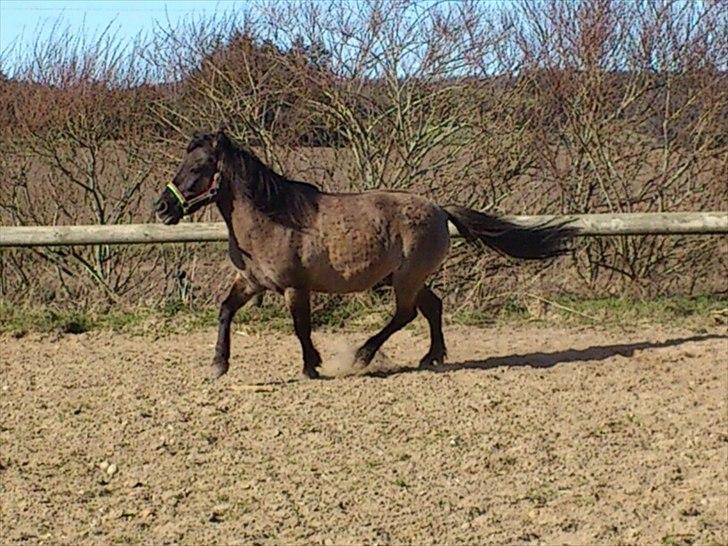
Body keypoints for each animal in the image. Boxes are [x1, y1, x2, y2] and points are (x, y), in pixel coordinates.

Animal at [155, 130, 576, 378]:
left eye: (198, 166)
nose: (162, 208)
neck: (271, 218)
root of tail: (440, 209)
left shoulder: (295, 287)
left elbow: (301, 328)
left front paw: (312, 366)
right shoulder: (251, 282)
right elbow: (225, 310)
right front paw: (218, 365)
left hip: (405, 280)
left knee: (406, 314)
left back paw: (364, 355)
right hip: (408, 278)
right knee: (432, 307)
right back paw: (431, 357)